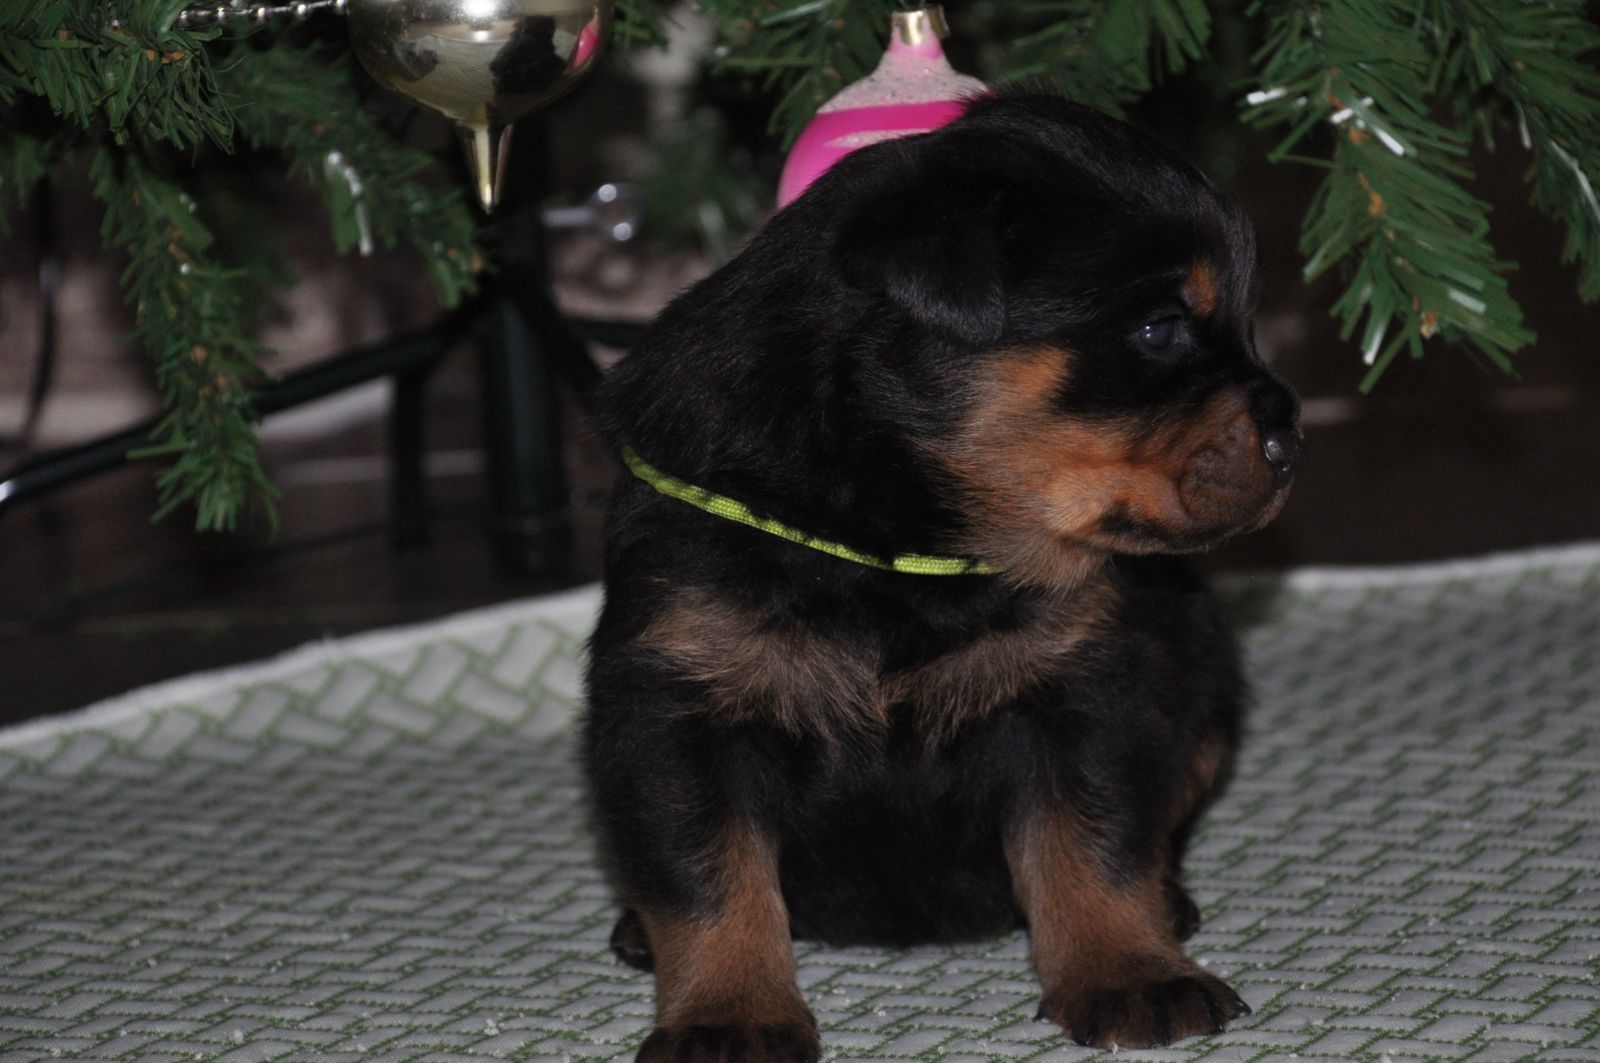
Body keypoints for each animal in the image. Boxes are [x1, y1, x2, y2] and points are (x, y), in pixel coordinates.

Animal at [583, 92, 1300, 1060]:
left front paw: (1129, 971)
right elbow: (709, 877)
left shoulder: (1082, 689)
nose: (1291, 435)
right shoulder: (679, 703)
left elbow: (1094, 841)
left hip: (1203, 661)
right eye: (1159, 328)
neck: (901, 537)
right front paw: (729, 1015)